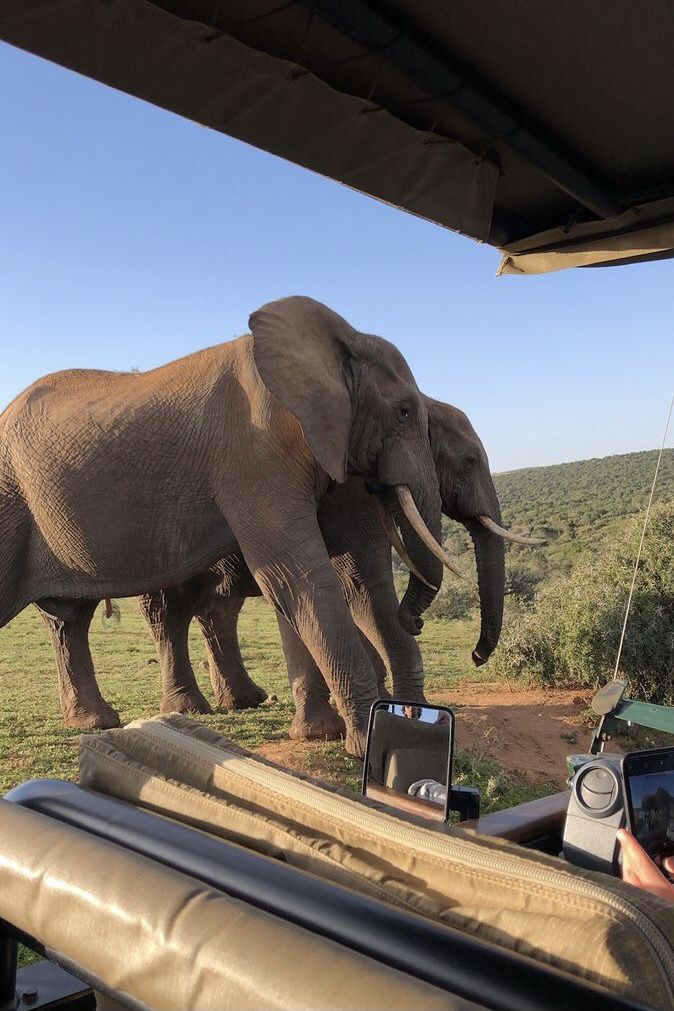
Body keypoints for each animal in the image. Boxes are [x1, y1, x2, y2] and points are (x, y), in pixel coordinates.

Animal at [2, 295, 452, 756]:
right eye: (403, 413)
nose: (415, 621)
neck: (342, 336)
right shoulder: (257, 453)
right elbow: (297, 577)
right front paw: (364, 745)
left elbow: (358, 575)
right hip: (12, 499)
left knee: (71, 618)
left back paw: (97, 721)